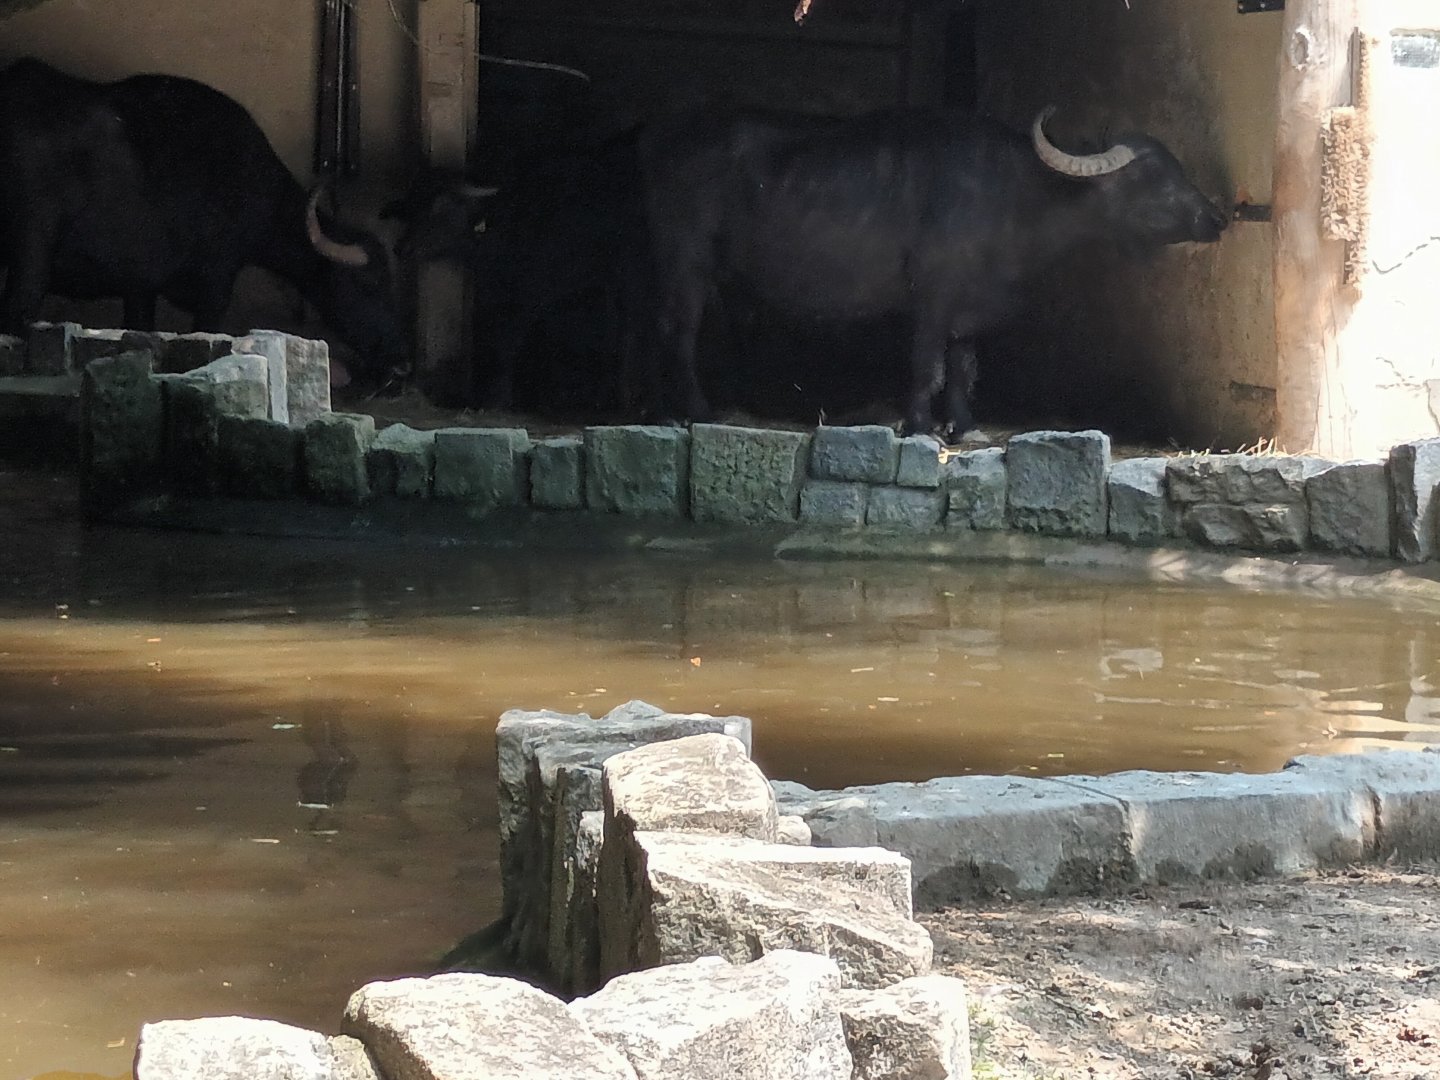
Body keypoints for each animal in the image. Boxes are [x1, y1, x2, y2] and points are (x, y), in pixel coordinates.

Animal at [0, 58, 408, 386]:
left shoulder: (140, 285)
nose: (402, 363)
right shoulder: (217, 283)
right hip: (31, 254)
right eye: (368, 285)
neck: (249, 182)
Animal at [637, 106, 1228, 437]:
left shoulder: (972, 305)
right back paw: (689, 411)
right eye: (1153, 178)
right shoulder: (933, 295)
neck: (1016, 199)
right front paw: (920, 425)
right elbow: (928, 365)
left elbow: (964, 366)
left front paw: (962, 426)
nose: (1217, 217)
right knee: (675, 331)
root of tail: (656, 145)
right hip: (683, 263)